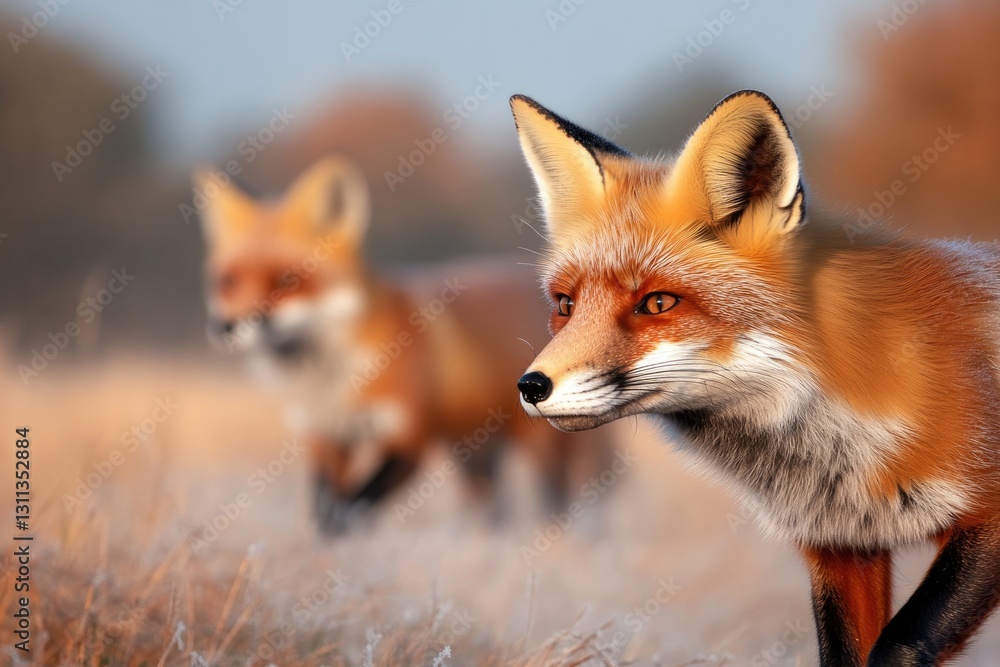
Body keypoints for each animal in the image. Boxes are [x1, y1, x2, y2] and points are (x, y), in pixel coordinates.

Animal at [195, 156, 612, 535]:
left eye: (287, 280)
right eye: (227, 281)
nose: (226, 326)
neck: (330, 382)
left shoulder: (408, 439)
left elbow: (352, 508)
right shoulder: (327, 437)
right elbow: (324, 508)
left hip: (539, 444)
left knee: (555, 500)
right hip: (475, 452)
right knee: (494, 509)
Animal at [509, 90, 1000, 666]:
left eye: (657, 303)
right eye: (566, 305)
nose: (531, 387)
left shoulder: (986, 514)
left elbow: (899, 644)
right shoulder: (842, 546)